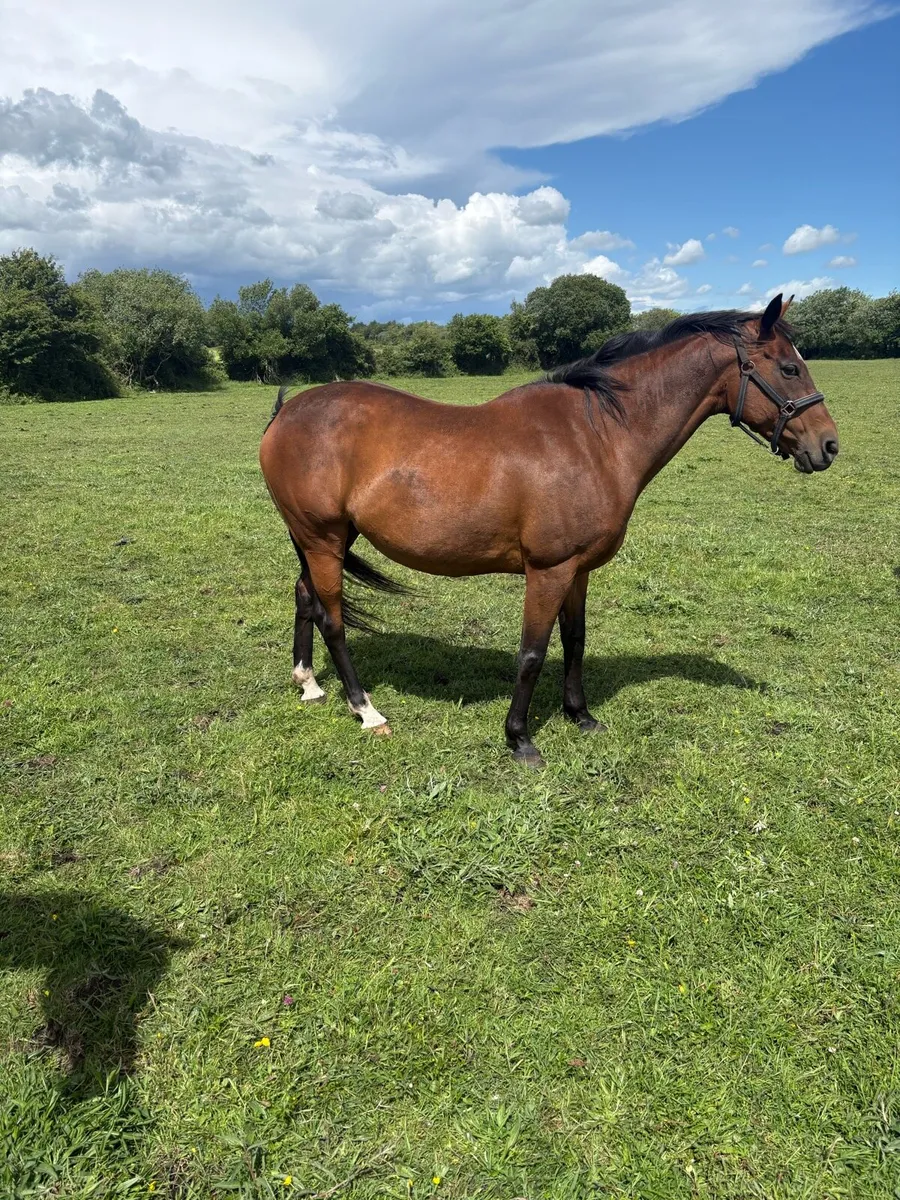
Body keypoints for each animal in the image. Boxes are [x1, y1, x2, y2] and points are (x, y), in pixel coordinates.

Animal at [259, 294, 838, 766]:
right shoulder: (548, 570)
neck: (597, 436)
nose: (828, 446)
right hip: (323, 539)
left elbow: (575, 641)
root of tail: (286, 413)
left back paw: (308, 684)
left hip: (329, 540)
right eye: (790, 368)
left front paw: (580, 715)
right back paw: (366, 711)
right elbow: (532, 653)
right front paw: (519, 739)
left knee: (304, 597)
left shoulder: (577, 570)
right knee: (333, 621)